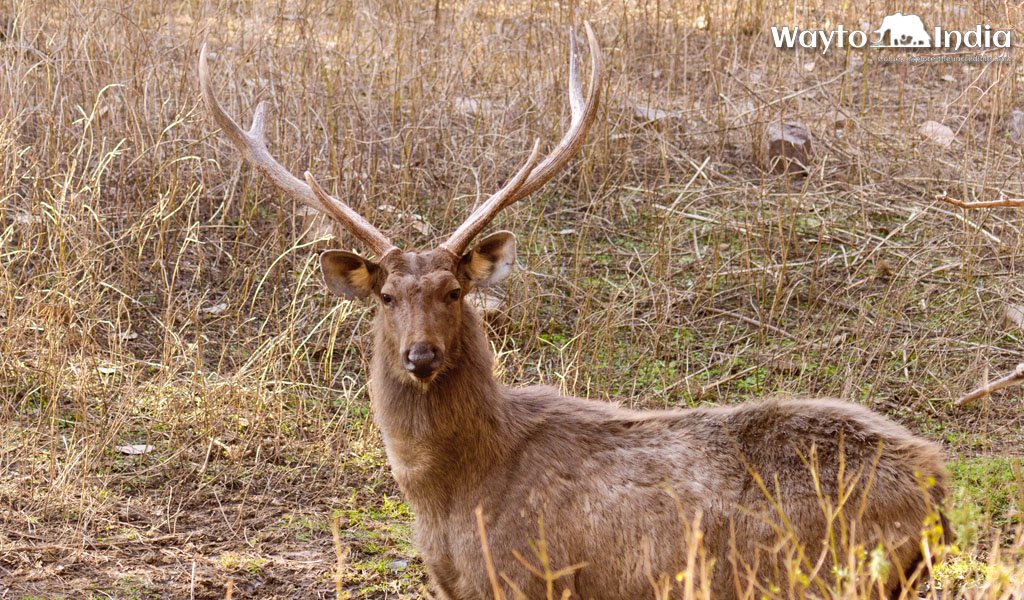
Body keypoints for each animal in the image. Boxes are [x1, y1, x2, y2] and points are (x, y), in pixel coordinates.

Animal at [197, 24, 942, 597]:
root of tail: (939, 483)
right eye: (386, 296)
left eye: (454, 291)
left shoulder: (530, 577)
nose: (420, 354)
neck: (449, 500)